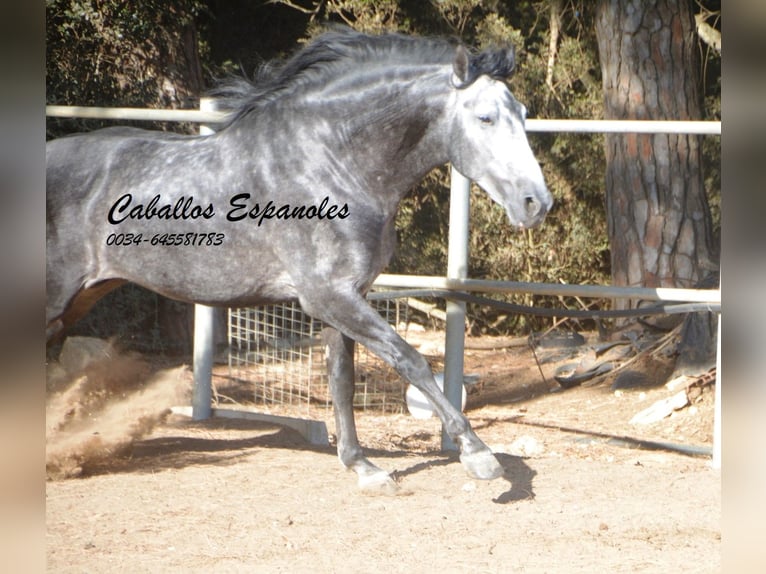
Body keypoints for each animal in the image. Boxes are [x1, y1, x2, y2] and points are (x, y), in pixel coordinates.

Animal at [46, 28, 552, 496]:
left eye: (524, 115)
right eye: (485, 117)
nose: (537, 203)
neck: (331, 163)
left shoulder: (344, 297)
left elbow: (342, 379)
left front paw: (363, 467)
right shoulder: (328, 296)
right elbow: (410, 360)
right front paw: (478, 455)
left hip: (80, 299)